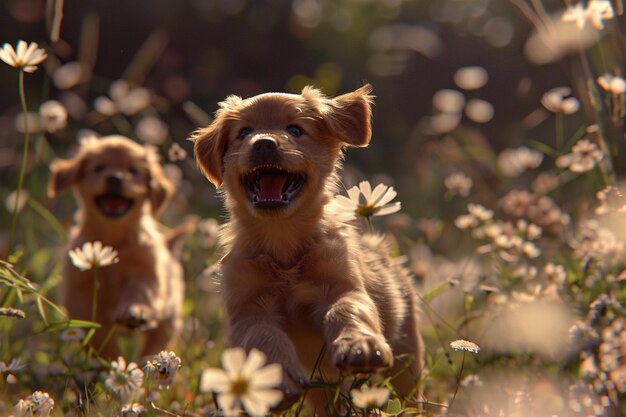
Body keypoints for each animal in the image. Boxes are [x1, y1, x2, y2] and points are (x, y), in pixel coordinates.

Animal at [47, 134, 184, 358]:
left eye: (133, 170)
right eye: (99, 167)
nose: (115, 178)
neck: (114, 240)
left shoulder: (146, 271)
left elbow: (140, 291)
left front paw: (135, 311)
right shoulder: (79, 291)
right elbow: (97, 331)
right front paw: (110, 357)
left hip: (169, 319)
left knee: (156, 342)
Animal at [191, 83, 424, 406]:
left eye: (295, 130)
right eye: (244, 132)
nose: (263, 143)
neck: (282, 240)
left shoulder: (341, 286)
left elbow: (347, 309)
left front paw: (359, 345)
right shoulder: (247, 310)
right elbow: (262, 337)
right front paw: (277, 381)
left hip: (407, 360)